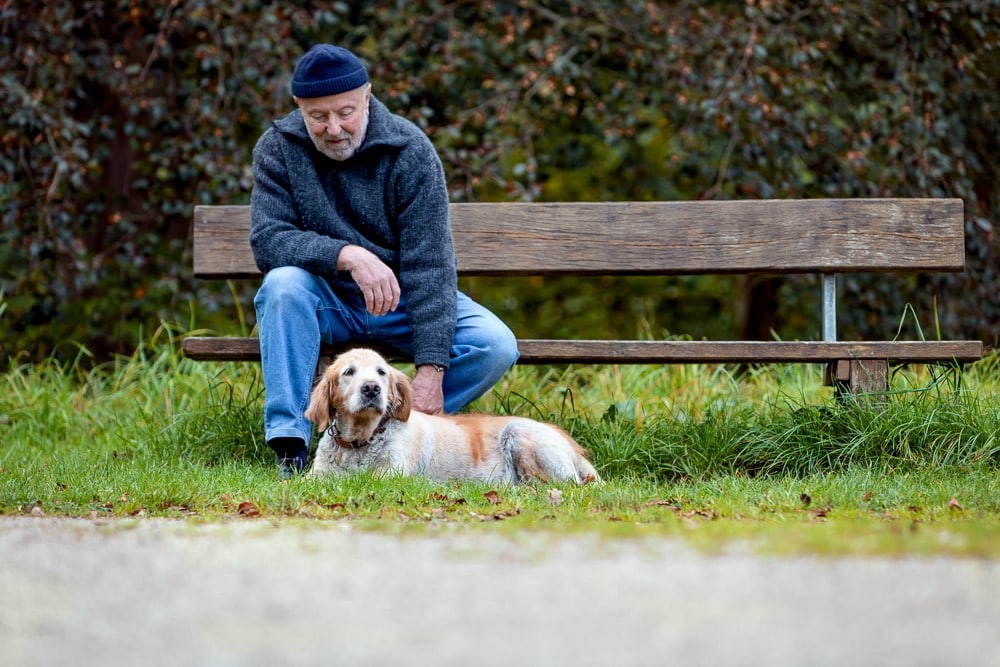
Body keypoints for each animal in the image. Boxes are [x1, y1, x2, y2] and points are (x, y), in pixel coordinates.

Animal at [302, 350, 600, 486]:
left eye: (381, 372)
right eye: (349, 372)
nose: (371, 388)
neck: (360, 440)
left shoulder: (390, 475)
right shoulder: (315, 476)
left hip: (518, 432)